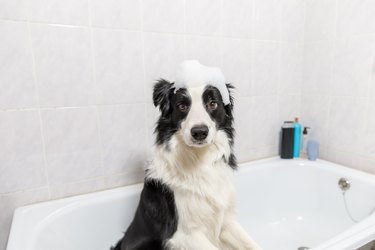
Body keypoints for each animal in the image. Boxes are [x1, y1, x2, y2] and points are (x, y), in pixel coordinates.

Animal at [113, 60, 262, 250]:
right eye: (182, 106)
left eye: (213, 104)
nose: (199, 132)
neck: (199, 159)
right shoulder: (183, 234)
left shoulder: (227, 222)